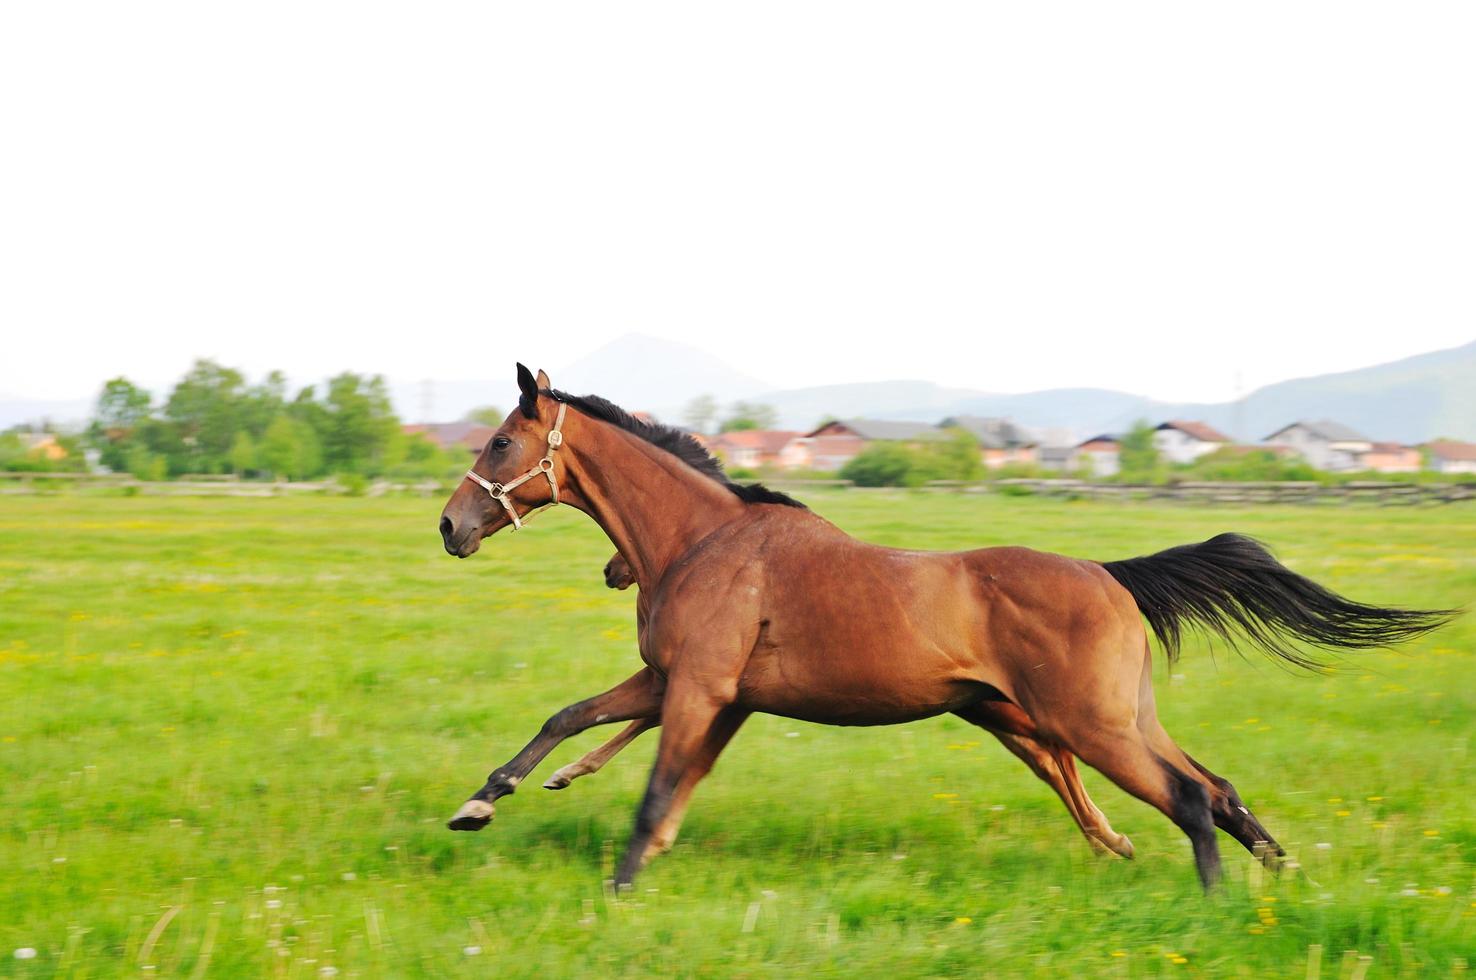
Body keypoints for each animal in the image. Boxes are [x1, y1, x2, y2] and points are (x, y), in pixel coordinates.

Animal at [436, 366, 1452, 885]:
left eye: (499, 441)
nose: (450, 526)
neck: (706, 539)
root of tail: (1110, 576)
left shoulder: (698, 689)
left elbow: (653, 793)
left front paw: (618, 887)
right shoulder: (681, 685)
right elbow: (569, 721)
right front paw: (479, 802)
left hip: (1089, 725)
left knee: (1189, 799)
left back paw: (1211, 898)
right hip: (1117, 718)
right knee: (1218, 787)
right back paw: (1272, 872)